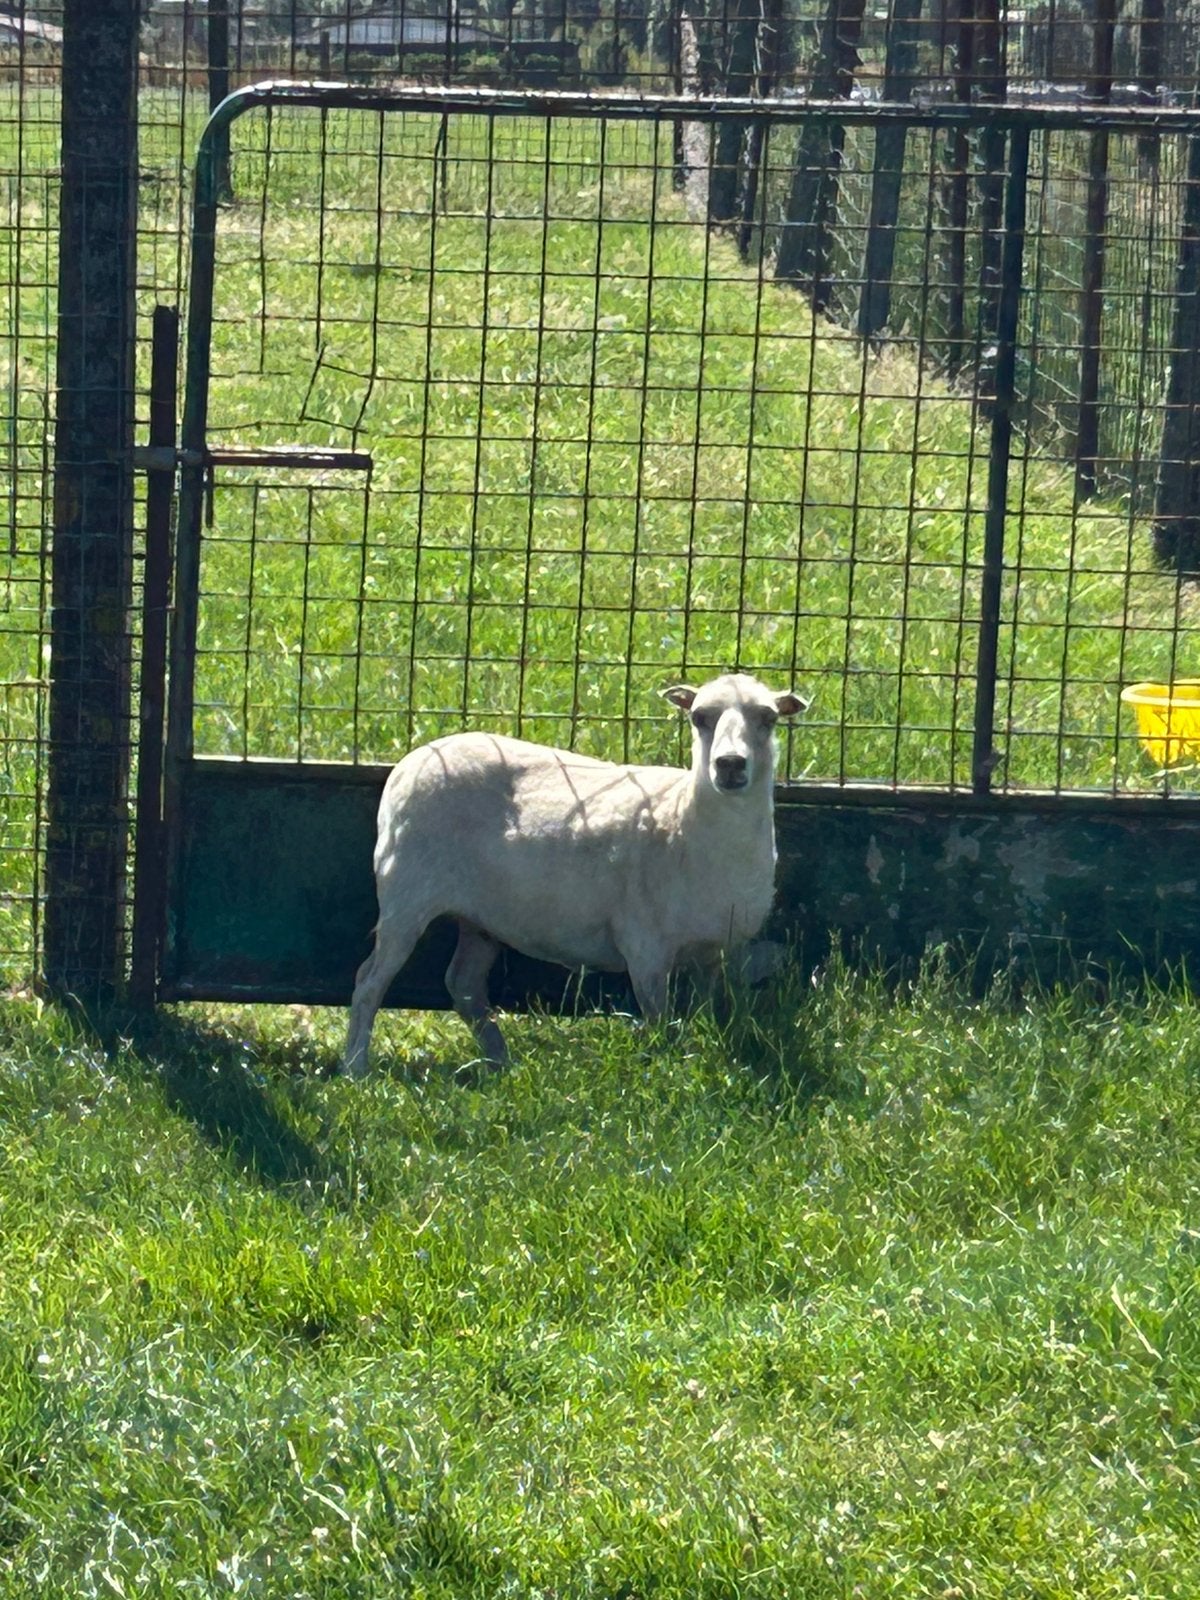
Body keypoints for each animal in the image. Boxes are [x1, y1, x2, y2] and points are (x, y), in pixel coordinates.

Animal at [342, 672, 808, 1076]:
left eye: (768, 718)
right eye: (698, 717)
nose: (729, 764)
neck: (684, 822)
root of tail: (412, 760)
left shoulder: (715, 950)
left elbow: (705, 1012)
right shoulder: (644, 945)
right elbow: (659, 1021)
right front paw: (665, 1069)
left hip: (480, 920)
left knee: (464, 985)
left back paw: (499, 1063)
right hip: (406, 894)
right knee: (369, 981)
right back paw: (356, 1069)